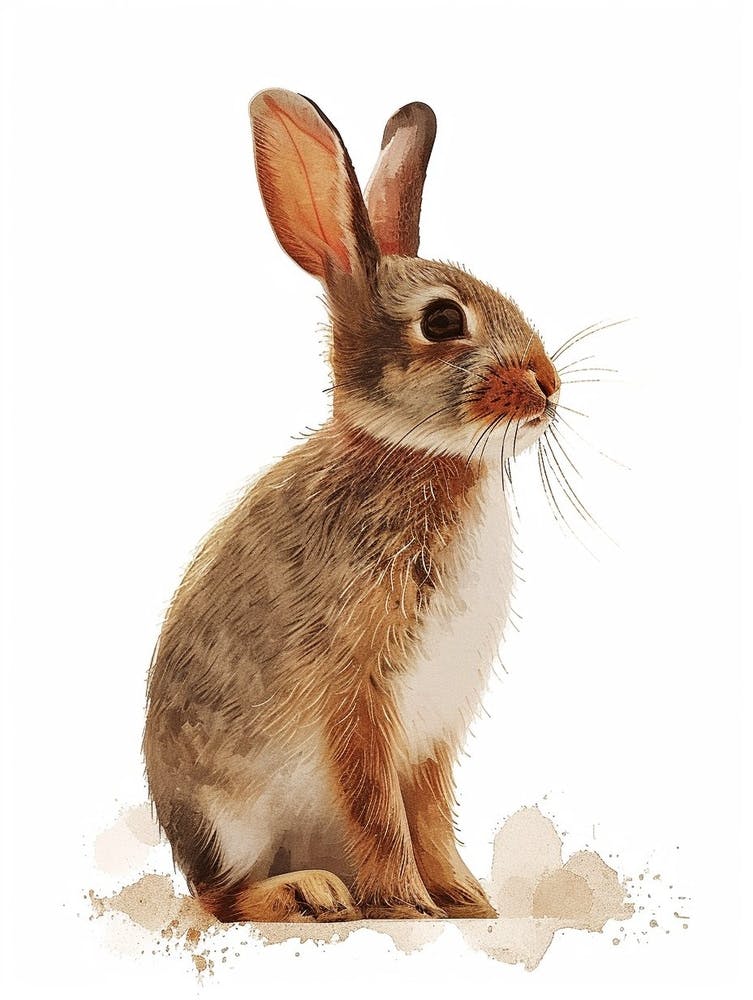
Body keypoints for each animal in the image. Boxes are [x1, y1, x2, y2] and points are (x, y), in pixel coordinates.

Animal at [143, 88, 561, 923]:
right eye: (442, 321)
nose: (547, 383)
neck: (419, 454)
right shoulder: (359, 695)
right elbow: (377, 809)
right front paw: (405, 903)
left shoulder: (433, 728)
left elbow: (427, 814)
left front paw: (465, 900)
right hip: (226, 821)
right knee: (220, 897)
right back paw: (311, 893)